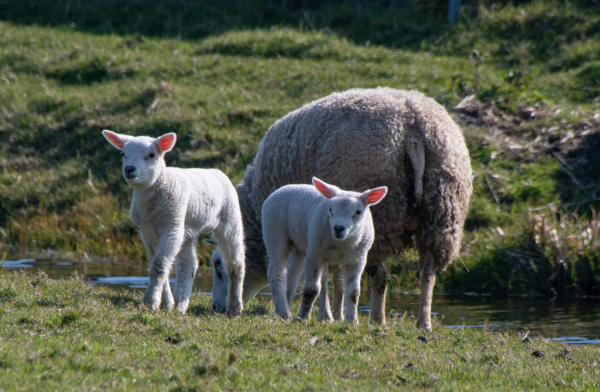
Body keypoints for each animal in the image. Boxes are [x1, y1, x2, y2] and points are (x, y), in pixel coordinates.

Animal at [103, 130, 246, 316]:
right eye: (123, 154)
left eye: (151, 155)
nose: (129, 169)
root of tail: (216, 171)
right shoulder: (147, 231)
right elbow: (157, 263)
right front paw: (167, 302)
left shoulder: (171, 228)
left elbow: (159, 264)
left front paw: (150, 302)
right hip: (185, 226)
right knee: (188, 263)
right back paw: (180, 305)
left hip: (228, 217)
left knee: (235, 263)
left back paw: (234, 309)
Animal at [264, 176, 390, 324]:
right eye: (330, 209)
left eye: (358, 212)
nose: (338, 228)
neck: (340, 246)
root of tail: (286, 187)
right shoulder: (314, 255)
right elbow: (311, 289)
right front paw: (303, 317)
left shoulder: (357, 259)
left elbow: (353, 292)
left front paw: (352, 321)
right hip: (274, 232)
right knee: (276, 273)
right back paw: (283, 312)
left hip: (301, 246)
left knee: (291, 275)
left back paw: (286, 307)